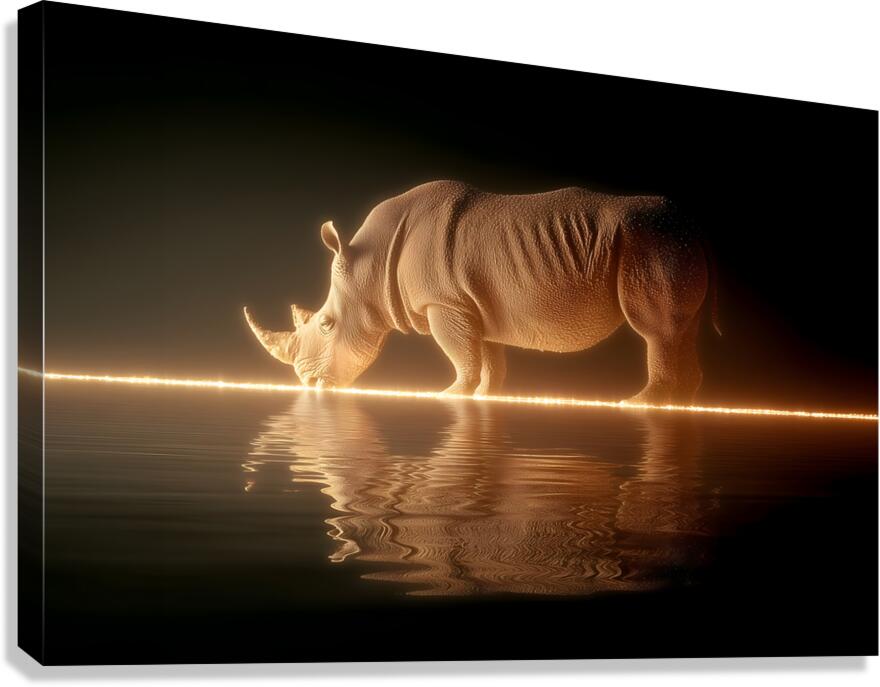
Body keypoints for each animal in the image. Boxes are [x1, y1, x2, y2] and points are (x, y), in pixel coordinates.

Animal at [244, 180, 719, 403]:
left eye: (326, 325)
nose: (308, 383)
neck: (371, 268)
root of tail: (695, 226)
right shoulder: (471, 304)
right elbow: (487, 357)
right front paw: (486, 396)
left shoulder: (443, 301)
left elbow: (461, 353)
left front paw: (449, 394)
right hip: (667, 242)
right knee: (683, 329)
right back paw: (679, 404)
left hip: (651, 242)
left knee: (656, 332)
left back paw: (637, 403)